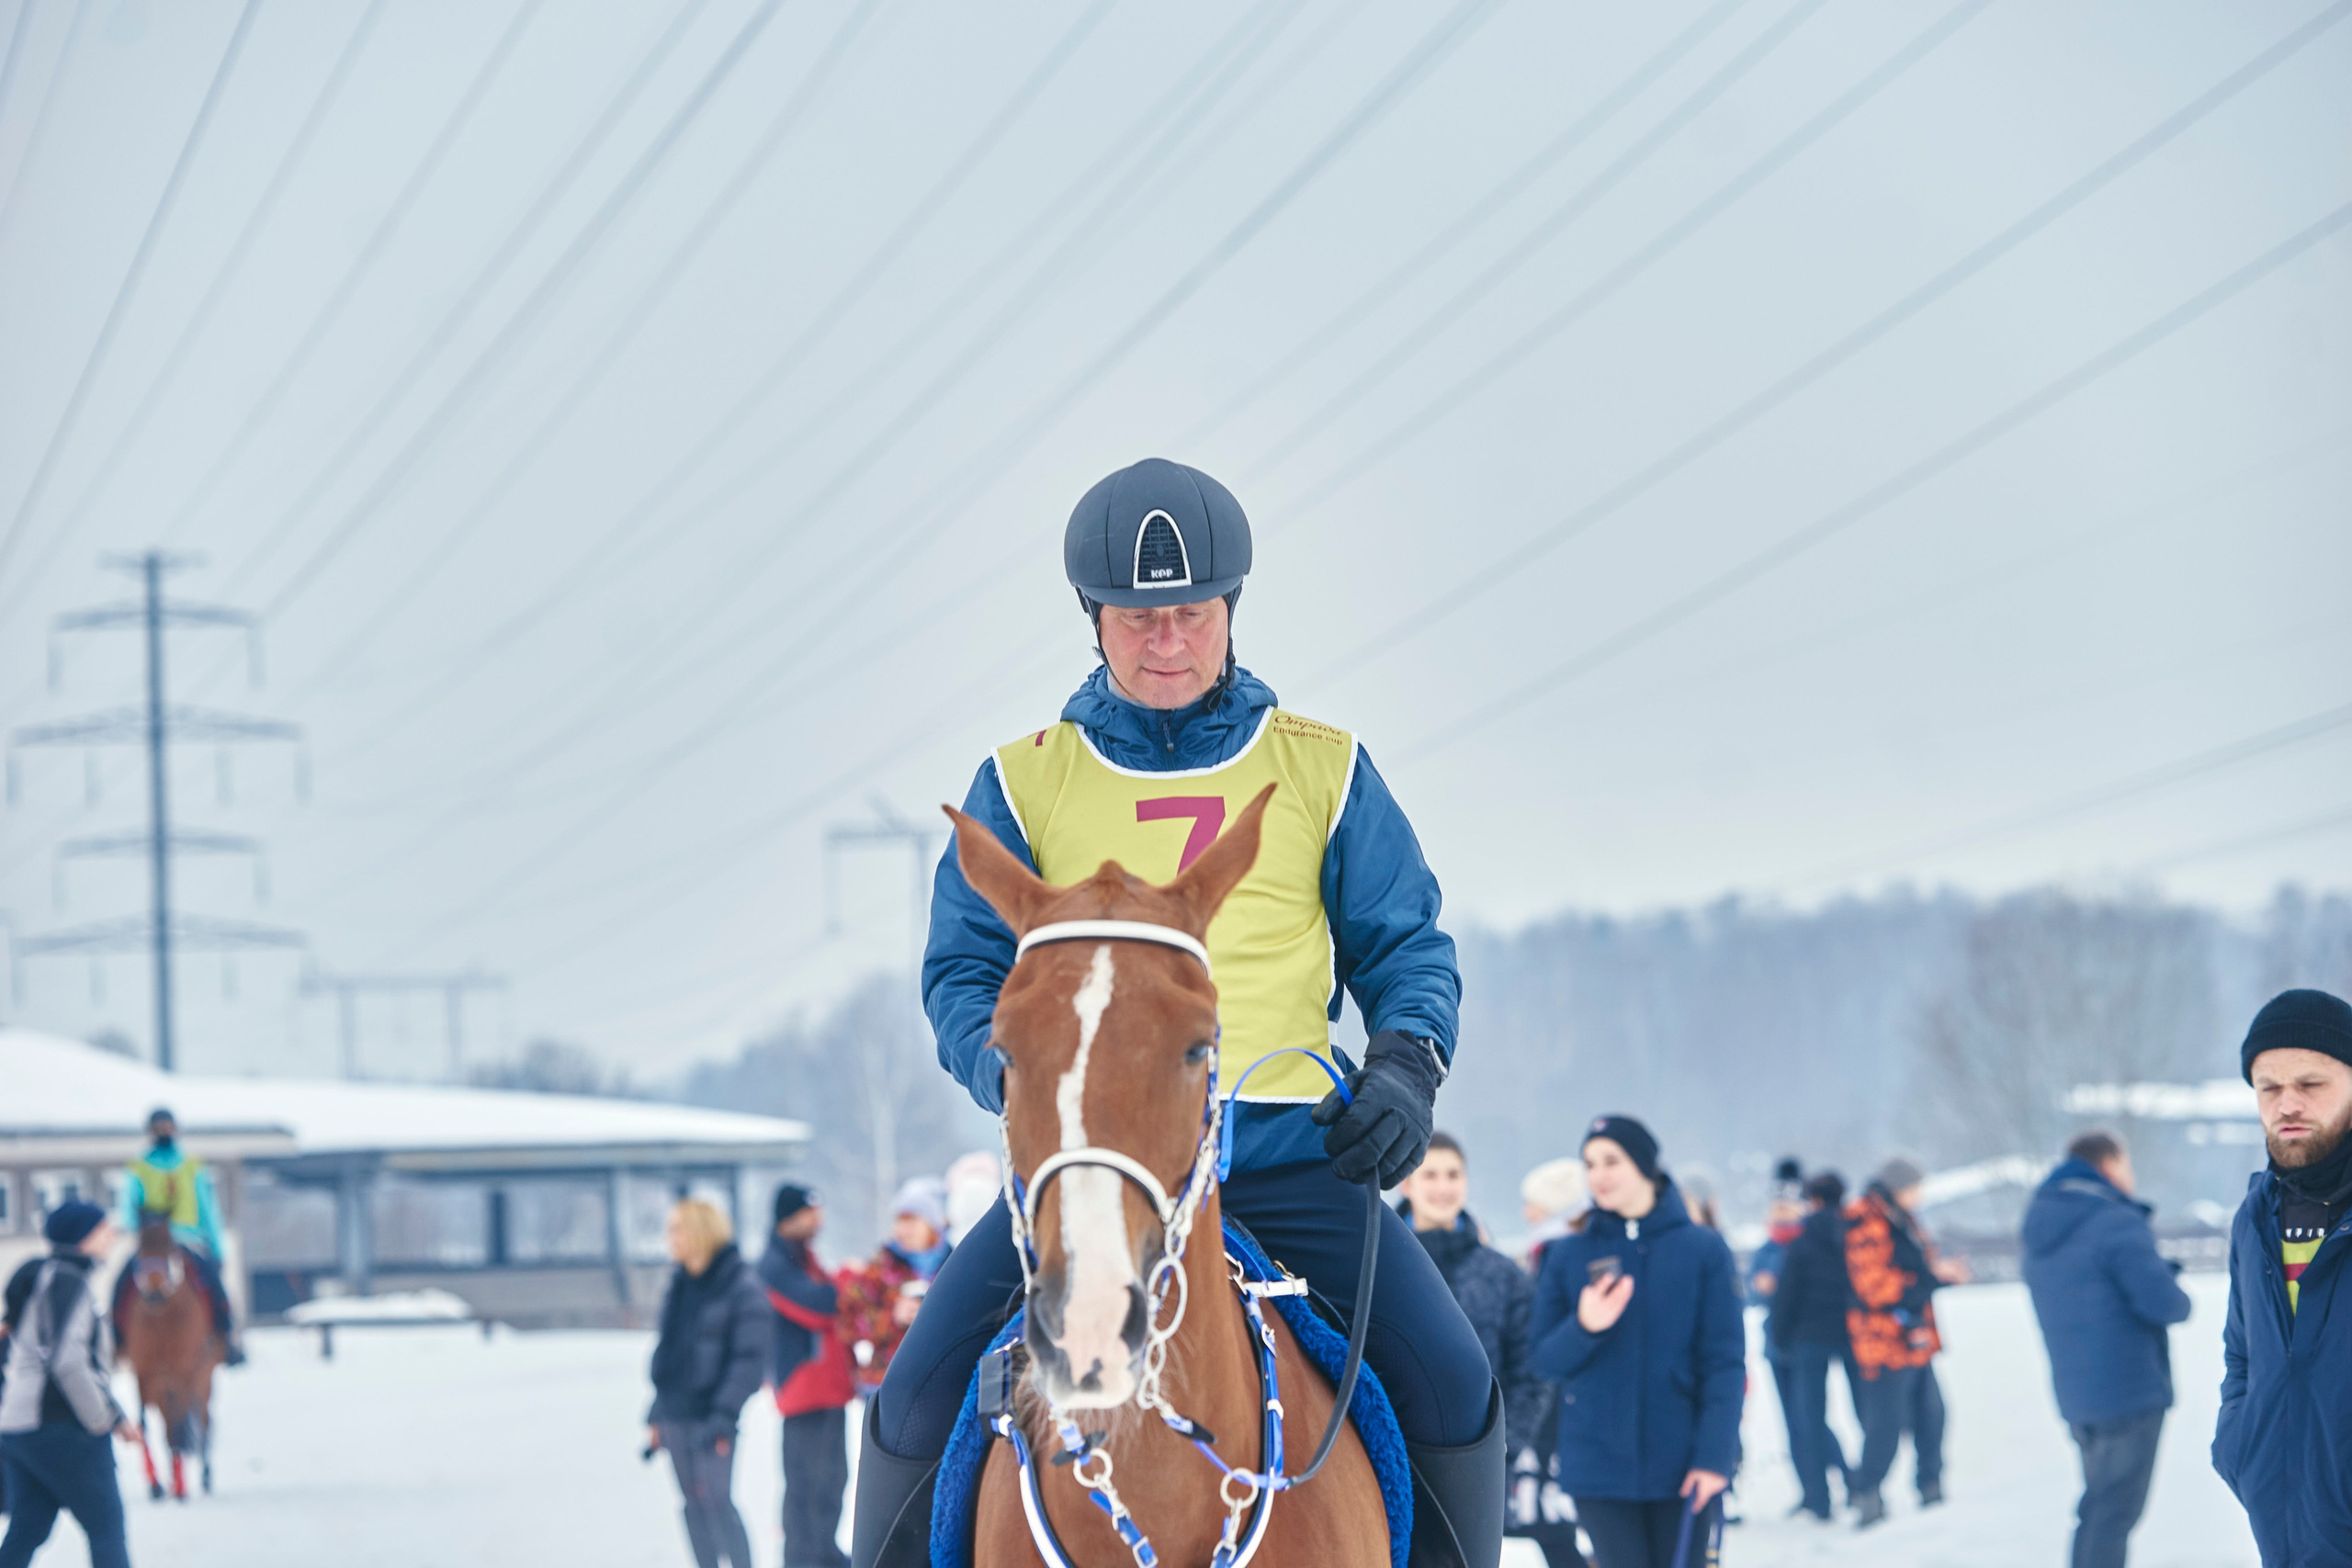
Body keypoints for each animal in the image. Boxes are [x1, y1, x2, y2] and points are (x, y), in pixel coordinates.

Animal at [118, 1213, 221, 1500]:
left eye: (169, 1247)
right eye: (140, 1247)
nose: (153, 1293)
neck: (162, 1318)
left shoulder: (183, 1373)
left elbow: (180, 1425)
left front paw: (180, 1485)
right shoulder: (144, 1373)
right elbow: (144, 1423)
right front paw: (155, 1484)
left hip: (203, 1375)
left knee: (203, 1418)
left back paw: (204, 1475)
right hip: (162, 1386)